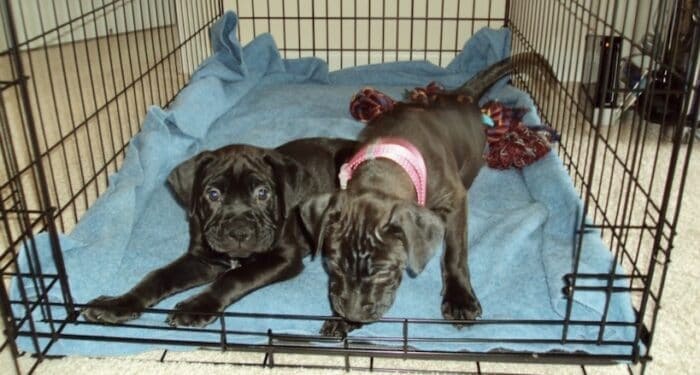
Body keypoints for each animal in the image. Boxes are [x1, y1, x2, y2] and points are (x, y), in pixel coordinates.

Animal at [82, 137, 356, 326]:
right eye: (213, 194)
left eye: (263, 194)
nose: (239, 232)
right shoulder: (203, 259)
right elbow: (157, 276)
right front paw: (118, 304)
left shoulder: (284, 257)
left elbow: (234, 277)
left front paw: (195, 308)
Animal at [302, 52, 556, 334]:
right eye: (333, 266)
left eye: (384, 271)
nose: (353, 314)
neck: (385, 164)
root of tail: (460, 94)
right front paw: (340, 321)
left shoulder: (454, 199)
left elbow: (455, 252)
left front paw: (459, 299)